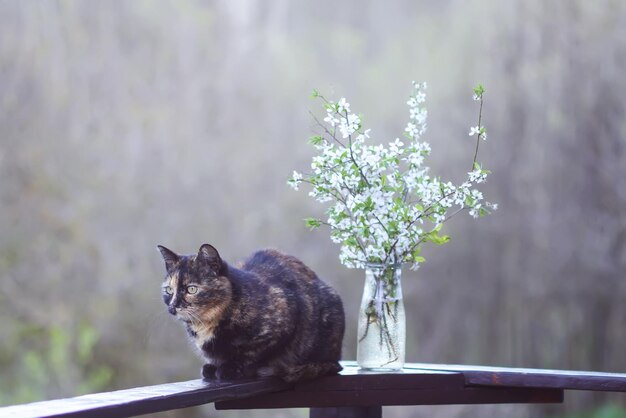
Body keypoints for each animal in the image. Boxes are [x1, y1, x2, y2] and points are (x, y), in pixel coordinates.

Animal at [155, 243, 342, 384]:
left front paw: (231, 368)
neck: (206, 324)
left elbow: (252, 353)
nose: (173, 306)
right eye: (169, 290)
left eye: (191, 289)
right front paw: (213, 366)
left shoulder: (284, 323)